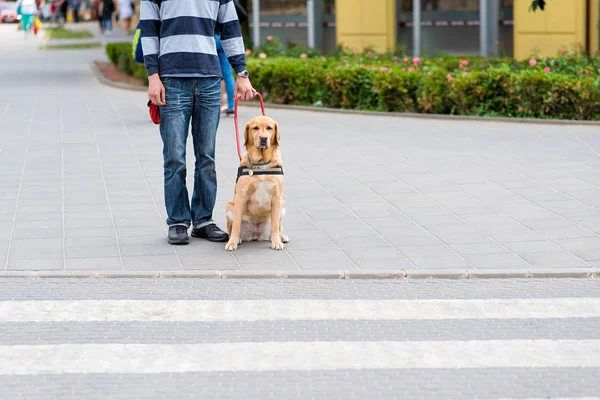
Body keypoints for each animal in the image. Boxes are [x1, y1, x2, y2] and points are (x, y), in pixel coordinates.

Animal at [226, 115, 290, 250]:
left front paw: (276, 242)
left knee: (277, 226)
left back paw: (281, 236)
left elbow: (275, 225)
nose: (263, 138)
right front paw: (232, 242)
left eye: (269, 128)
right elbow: (236, 225)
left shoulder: (277, 198)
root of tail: (256, 234)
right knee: (231, 228)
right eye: (255, 128)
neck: (262, 163)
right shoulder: (240, 197)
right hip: (230, 206)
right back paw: (238, 239)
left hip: (282, 205)